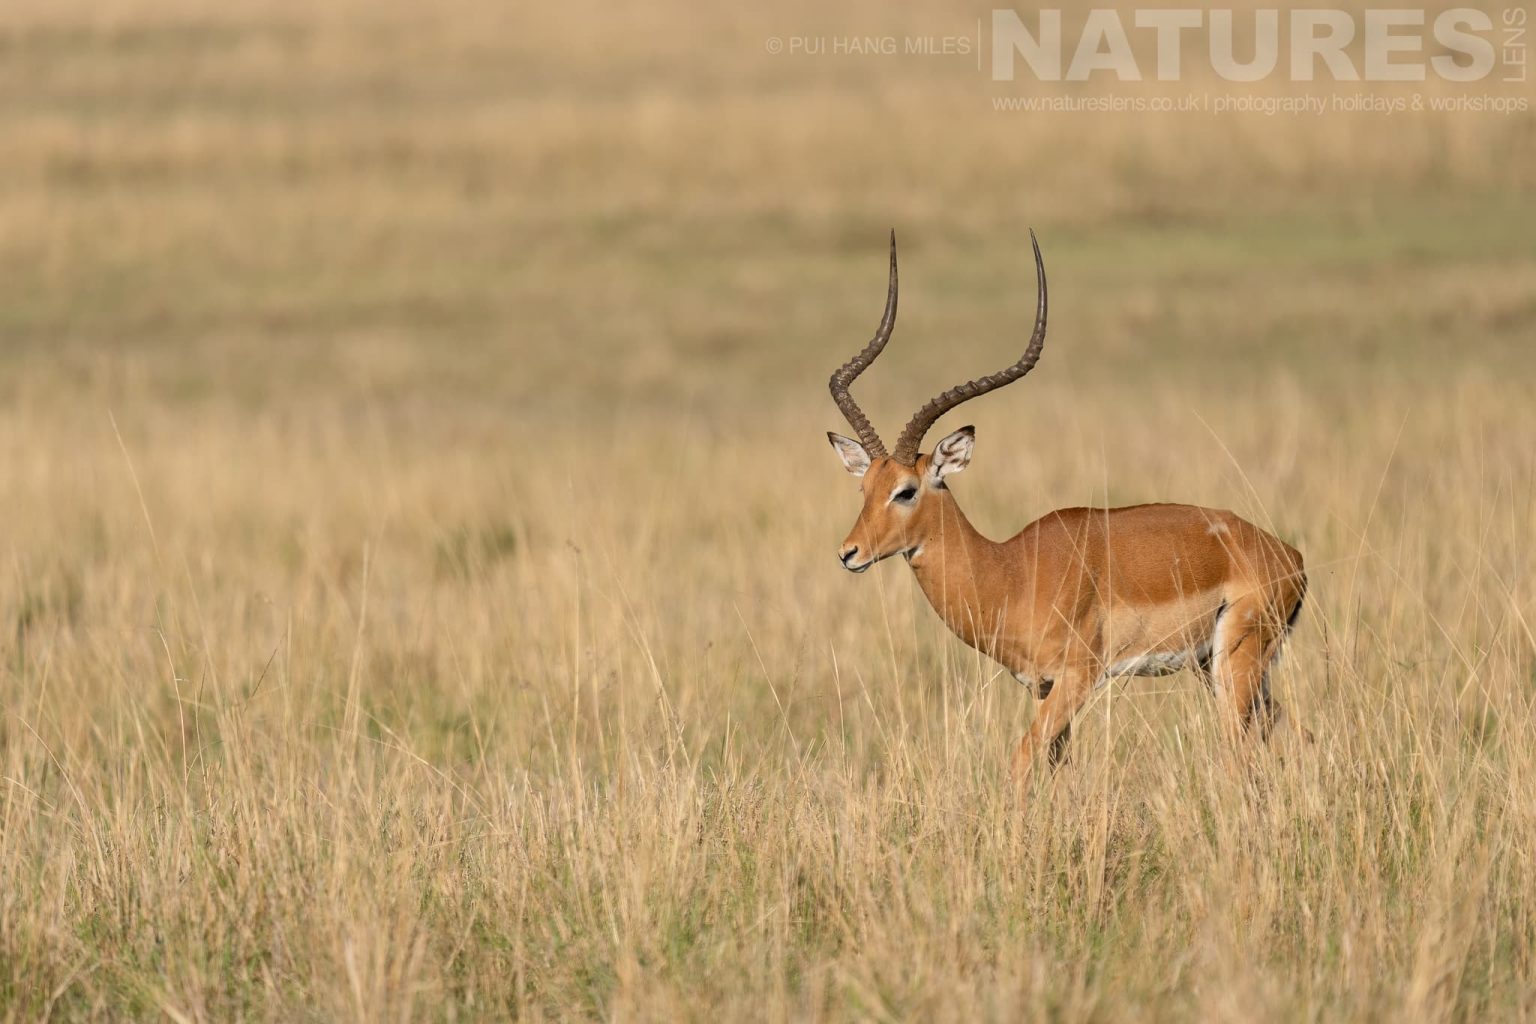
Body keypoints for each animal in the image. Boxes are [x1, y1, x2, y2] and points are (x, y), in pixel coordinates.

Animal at [826, 231, 1307, 791]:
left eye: (905, 491)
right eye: (865, 488)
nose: (849, 553)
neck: (1009, 571)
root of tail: (1288, 554)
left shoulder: (1079, 678)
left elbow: (1021, 758)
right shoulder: (1042, 685)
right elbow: (1056, 766)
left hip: (1236, 665)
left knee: (1239, 755)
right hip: (1223, 669)